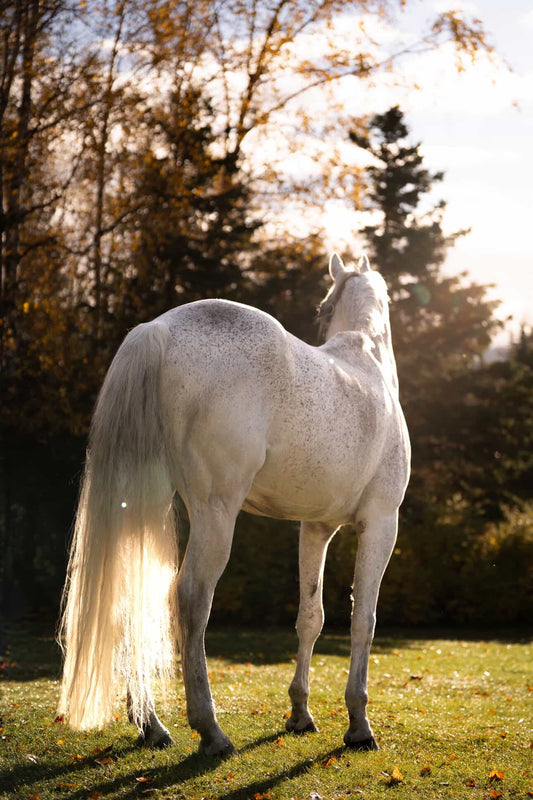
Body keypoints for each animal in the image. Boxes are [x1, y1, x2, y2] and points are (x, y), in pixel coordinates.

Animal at [58, 252, 410, 757]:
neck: (367, 362)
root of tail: (155, 330)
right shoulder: (381, 523)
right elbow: (363, 618)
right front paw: (360, 725)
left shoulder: (316, 528)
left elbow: (311, 618)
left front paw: (300, 714)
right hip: (215, 511)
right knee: (191, 596)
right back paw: (210, 731)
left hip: (142, 506)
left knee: (129, 594)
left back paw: (152, 726)